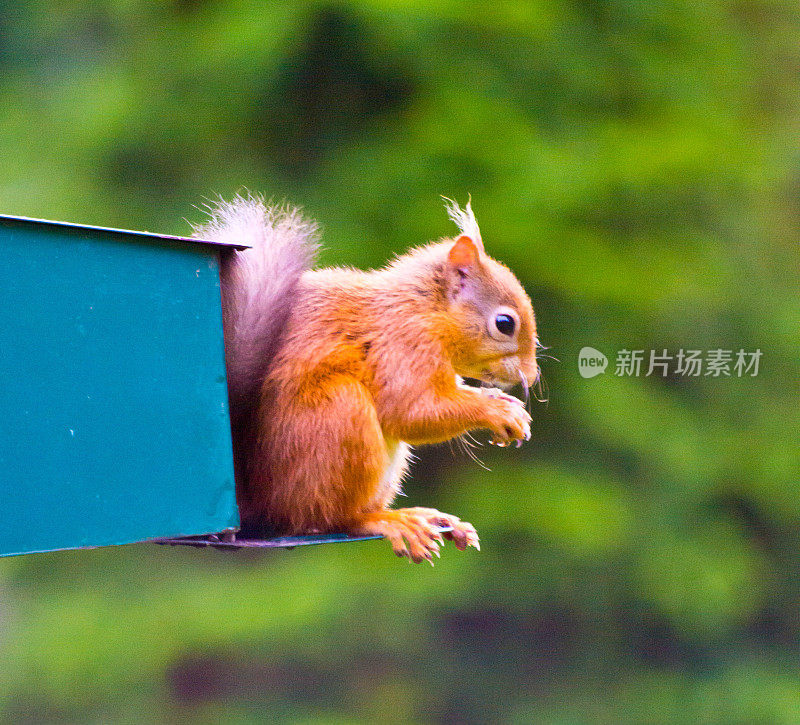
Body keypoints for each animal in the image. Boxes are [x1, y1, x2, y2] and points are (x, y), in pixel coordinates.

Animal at [195, 195, 536, 564]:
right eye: (505, 323)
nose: (531, 377)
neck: (426, 309)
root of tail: (261, 509)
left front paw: (504, 403)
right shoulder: (405, 345)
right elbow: (412, 412)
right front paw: (497, 411)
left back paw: (429, 518)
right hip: (340, 413)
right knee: (332, 518)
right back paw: (385, 520)